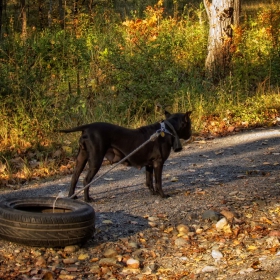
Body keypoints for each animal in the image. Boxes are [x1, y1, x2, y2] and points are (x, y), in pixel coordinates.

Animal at [58, 111, 190, 201]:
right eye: (189, 123)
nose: (190, 134)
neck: (167, 129)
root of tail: (88, 126)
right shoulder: (158, 163)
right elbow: (158, 182)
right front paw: (162, 195)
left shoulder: (149, 165)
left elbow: (149, 181)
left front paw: (153, 193)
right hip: (96, 160)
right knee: (86, 180)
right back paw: (87, 199)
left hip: (82, 158)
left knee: (74, 177)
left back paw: (72, 197)